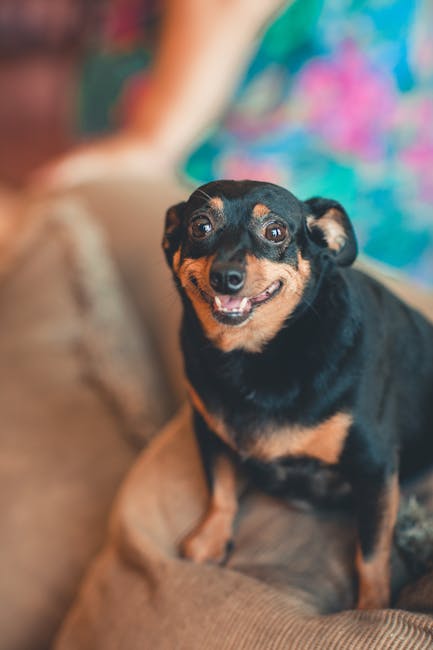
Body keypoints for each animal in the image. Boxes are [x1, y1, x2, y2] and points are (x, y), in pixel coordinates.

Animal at [160, 178, 432, 608]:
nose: (226, 276)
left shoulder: (374, 468)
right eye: (200, 226)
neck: (254, 356)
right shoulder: (209, 431)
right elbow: (220, 488)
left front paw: (371, 609)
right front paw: (210, 541)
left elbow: (372, 553)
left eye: (275, 232)